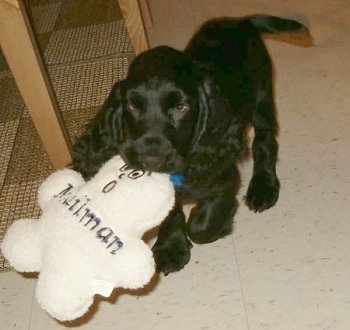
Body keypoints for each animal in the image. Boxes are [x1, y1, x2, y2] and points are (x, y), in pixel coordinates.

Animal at [73, 14, 308, 274]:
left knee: (265, 141)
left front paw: (210, 222)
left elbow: (201, 226)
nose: (150, 159)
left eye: (180, 107)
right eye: (133, 106)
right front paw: (171, 247)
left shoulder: (225, 176)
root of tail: (242, 20)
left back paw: (263, 187)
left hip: (262, 96)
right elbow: (171, 213)